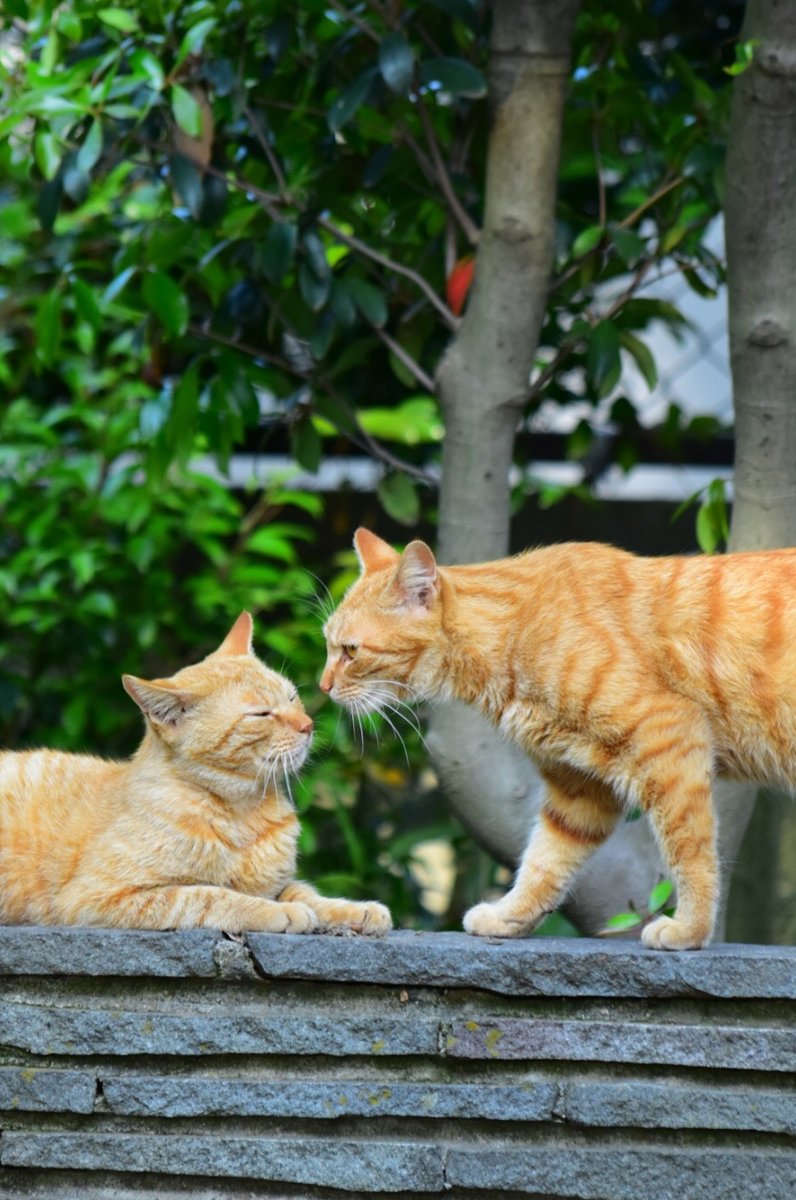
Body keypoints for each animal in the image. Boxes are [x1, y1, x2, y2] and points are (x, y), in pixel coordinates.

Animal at [0, 609, 391, 936]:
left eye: (292, 697)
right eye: (261, 714)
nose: (307, 726)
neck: (241, 811)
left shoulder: (277, 883)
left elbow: (305, 892)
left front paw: (355, 910)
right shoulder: (95, 897)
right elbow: (208, 896)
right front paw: (275, 911)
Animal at [321, 530, 796, 950]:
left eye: (350, 651)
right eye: (328, 645)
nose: (323, 687)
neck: (514, 633)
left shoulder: (668, 736)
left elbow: (689, 848)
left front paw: (692, 930)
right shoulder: (580, 789)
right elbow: (544, 862)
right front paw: (509, 917)